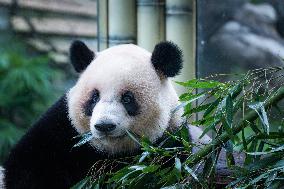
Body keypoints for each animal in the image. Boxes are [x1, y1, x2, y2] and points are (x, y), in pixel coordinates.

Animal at [1, 40, 210, 188]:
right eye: (94, 97)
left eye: (127, 98)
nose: (104, 125)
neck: (109, 152)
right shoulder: (62, 128)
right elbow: (29, 165)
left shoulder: (169, 143)